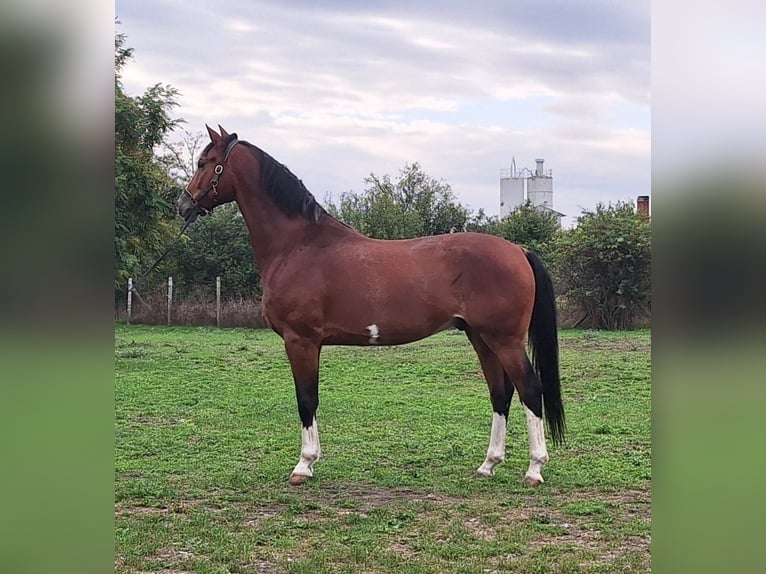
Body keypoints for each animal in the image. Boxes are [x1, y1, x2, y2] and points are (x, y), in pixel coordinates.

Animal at [178, 126, 564, 486]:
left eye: (204, 163)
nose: (183, 205)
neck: (298, 245)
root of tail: (518, 250)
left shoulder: (300, 341)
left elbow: (307, 400)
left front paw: (304, 465)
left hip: (504, 339)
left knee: (530, 390)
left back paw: (534, 469)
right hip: (481, 338)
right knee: (501, 393)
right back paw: (488, 464)